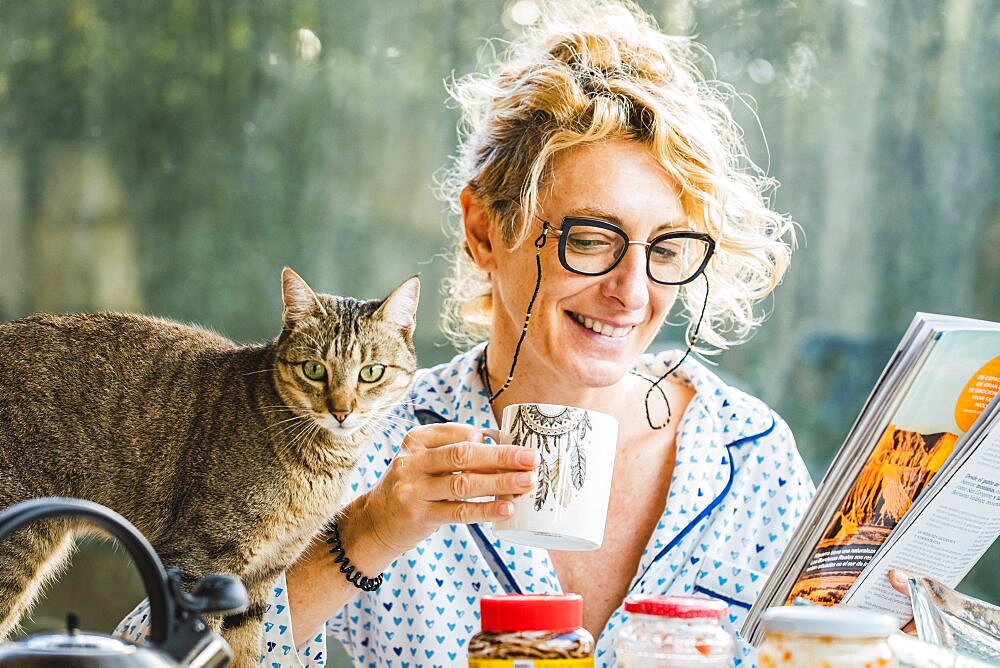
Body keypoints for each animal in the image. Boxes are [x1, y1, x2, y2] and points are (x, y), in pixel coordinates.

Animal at [0, 268, 418, 664]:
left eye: (371, 372)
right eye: (314, 369)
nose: (341, 411)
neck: (321, 467)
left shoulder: (260, 578)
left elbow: (246, 651)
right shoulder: (198, 560)